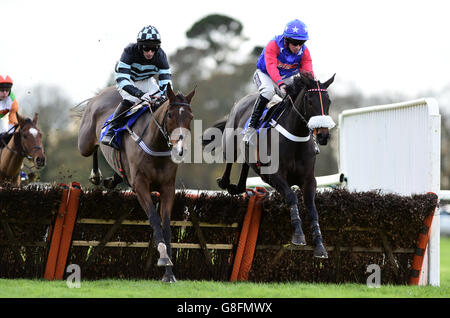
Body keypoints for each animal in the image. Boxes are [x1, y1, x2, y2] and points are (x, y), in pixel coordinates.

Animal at [77, 84, 193, 284]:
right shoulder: (140, 186)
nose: (180, 149)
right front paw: (164, 258)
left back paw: (112, 179)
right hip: (84, 143)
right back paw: (96, 174)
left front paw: (169, 273)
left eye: (190, 117)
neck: (156, 145)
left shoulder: (168, 188)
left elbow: (166, 224)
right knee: (93, 147)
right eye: (170, 115)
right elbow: (154, 219)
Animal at [204, 72, 334, 258]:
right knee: (230, 159)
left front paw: (320, 246)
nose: (323, 135)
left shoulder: (309, 180)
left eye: (328, 101)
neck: (295, 139)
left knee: (245, 163)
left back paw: (239, 187)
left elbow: (312, 208)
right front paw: (299, 235)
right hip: (230, 141)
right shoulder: (274, 175)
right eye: (310, 101)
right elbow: (291, 197)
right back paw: (225, 182)